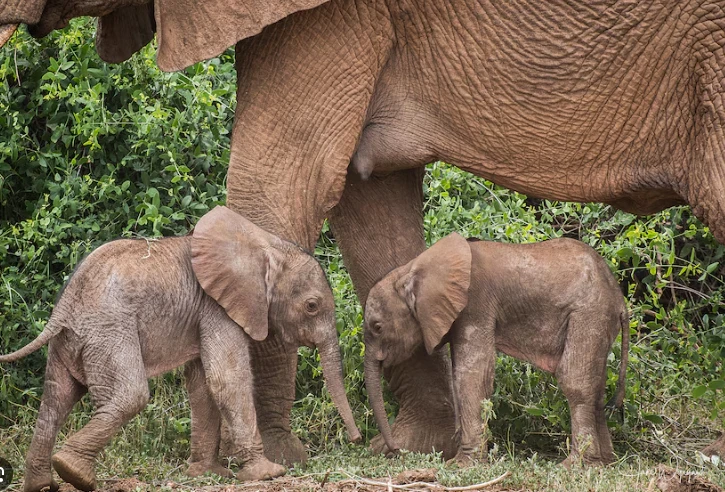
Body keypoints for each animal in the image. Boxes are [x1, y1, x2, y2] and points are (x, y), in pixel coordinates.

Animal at [0, 206, 360, 492]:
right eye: (312, 306)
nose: (357, 440)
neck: (266, 246)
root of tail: (65, 303)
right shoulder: (217, 308)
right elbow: (227, 379)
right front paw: (268, 473)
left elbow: (202, 386)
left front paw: (208, 473)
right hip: (109, 330)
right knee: (129, 395)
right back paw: (75, 474)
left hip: (73, 337)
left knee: (56, 398)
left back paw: (43, 484)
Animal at [364, 234, 624, 466]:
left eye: (377, 327)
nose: (395, 450)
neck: (412, 268)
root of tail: (619, 297)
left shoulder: (475, 304)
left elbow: (471, 377)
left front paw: (462, 464)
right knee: (597, 388)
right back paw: (603, 463)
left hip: (589, 312)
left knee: (575, 381)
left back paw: (575, 465)